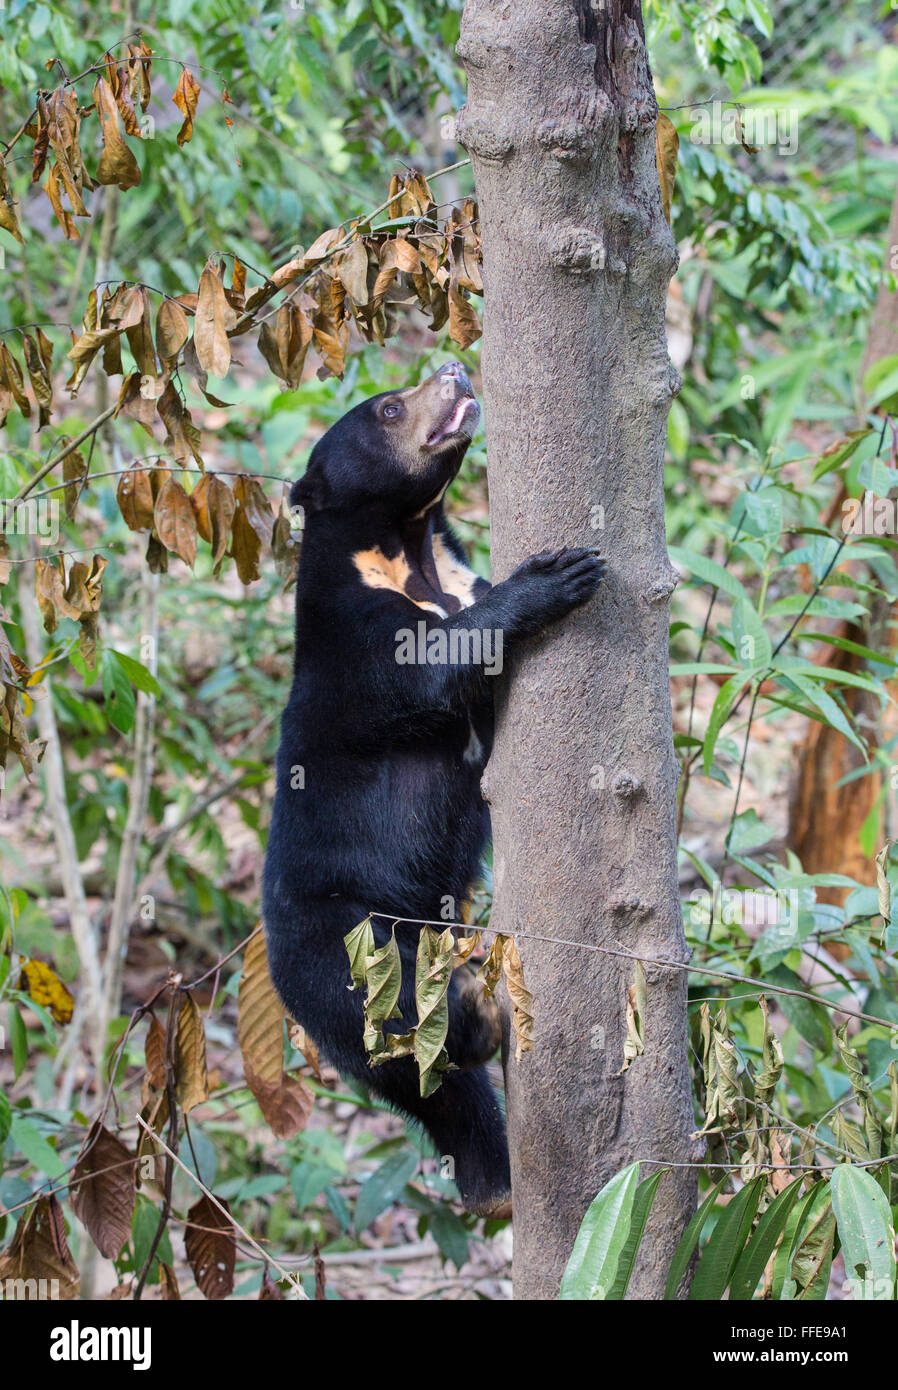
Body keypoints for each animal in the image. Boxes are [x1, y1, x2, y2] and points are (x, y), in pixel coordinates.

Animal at [264, 364, 608, 1212]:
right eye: (389, 408)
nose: (454, 368)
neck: (407, 548)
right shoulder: (356, 641)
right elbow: (433, 663)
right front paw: (556, 575)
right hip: (348, 944)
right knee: (403, 1017)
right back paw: (479, 1019)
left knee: (433, 1086)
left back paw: (495, 1186)